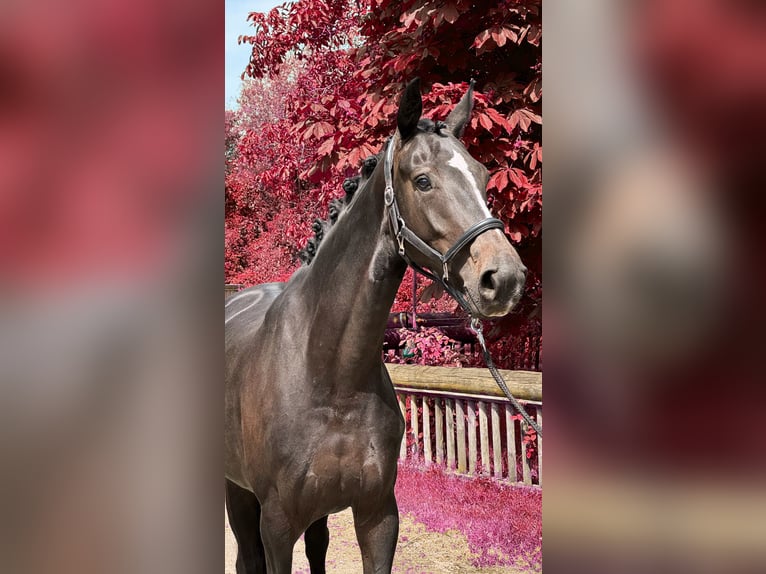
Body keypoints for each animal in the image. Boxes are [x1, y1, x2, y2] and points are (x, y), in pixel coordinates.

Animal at [225, 80, 532, 574]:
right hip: (238, 493)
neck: (332, 376)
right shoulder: (277, 526)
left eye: (485, 177)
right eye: (423, 180)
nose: (504, 278)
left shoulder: (378, 515)